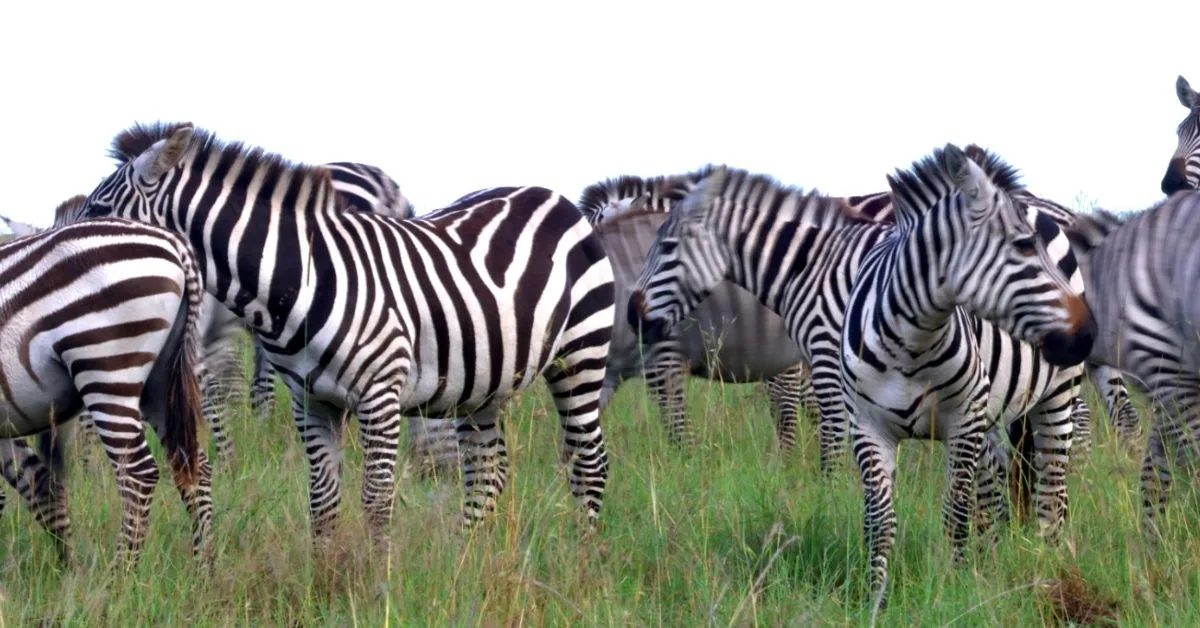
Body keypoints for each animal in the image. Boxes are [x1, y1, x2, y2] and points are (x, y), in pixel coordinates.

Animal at [0, 217, 213, 565]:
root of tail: (175, 245)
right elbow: (36, 483)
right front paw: (67, 569)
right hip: (161, 380)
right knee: (196, 467)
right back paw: (203, 566)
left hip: (105, 366)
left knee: (139, 475)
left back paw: (121, 574)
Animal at [56, 121, 614, 544]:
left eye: (100, 210)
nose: (61, 263)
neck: (301, 278)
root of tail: (554, 197)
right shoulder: (312, 403)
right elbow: (322, 502)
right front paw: (327, 582)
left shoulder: (380, 396)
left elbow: (375, 501)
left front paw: (376, 589)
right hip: (485, 384)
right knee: (487, 474)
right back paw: (466, 562)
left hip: (580, 356)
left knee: (590, 462)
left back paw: (584, 561)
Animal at [834, 145, 1095, 610]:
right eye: (1023, 245)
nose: (1089, 335)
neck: (910, 341)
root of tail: (1034, 201)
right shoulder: (866, 425)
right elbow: (879, 519)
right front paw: (875, 600)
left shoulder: (963, 419)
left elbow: (956, 509)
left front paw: (953, 585)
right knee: (997, 489)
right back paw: (991, 558)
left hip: (1057, 397)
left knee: (1052, 494)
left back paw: (1048, 569)